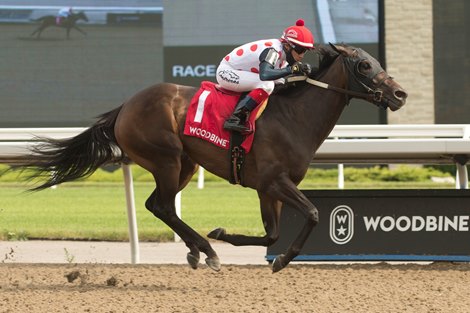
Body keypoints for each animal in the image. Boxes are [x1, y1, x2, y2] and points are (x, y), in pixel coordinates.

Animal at [15, 43, 408, 270]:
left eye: (375, 62)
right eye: (364, 66)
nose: (400, 94)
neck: (293, 117)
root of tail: (125, 107)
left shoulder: (268, 189)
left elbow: (271, 235)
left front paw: (230, 236)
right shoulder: (274, 181)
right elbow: (311, 214)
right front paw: (278, 260)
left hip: (185, 164)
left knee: (157, 205)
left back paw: (198, 249)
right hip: (167, 158)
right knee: (163, 206)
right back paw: (205, 249)